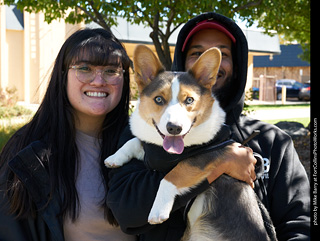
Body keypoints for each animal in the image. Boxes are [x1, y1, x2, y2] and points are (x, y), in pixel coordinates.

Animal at [105, 44, 276, 239]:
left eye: (189, 100)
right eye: (158, 99)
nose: (174, 128)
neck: (169, 152)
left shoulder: (208, 156)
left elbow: (172, 175)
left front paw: (157, 210)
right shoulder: (153, 150)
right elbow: (134, 141)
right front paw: (114, 158)